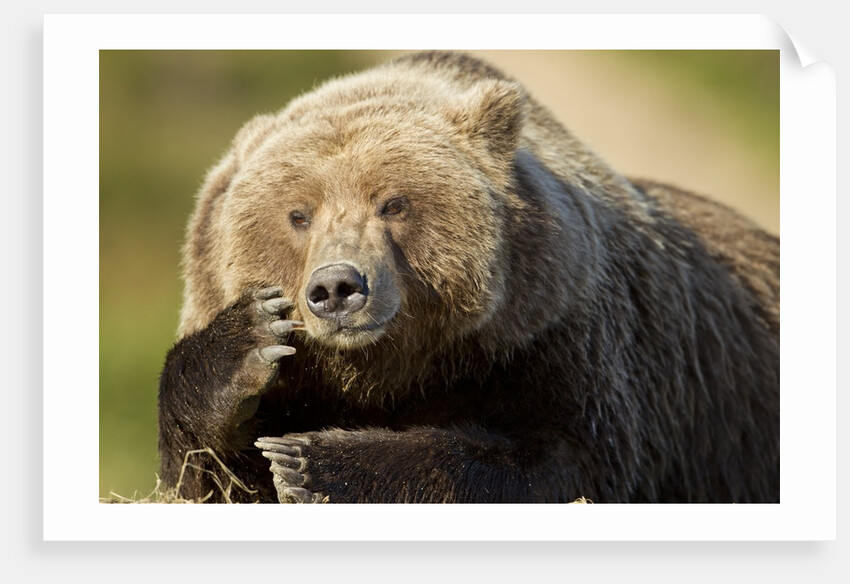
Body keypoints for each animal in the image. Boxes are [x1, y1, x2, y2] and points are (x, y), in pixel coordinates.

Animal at [157, 51, 779, 504]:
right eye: (298, 214)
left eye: (393, 203)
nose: (336, 287)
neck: (390, 370)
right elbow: (203, 476)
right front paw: (249, 344)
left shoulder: (553, 336)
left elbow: (557, 461)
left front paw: (308, 463)